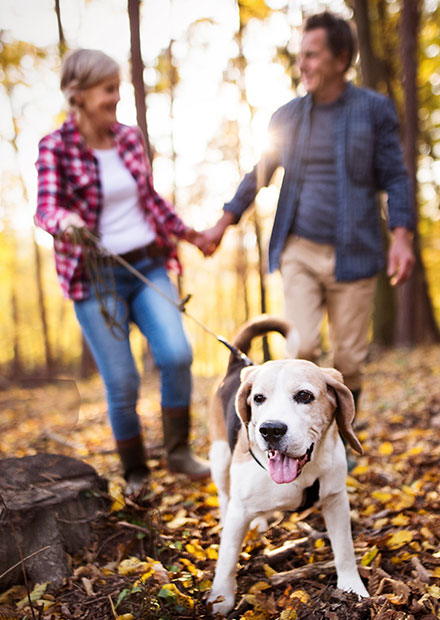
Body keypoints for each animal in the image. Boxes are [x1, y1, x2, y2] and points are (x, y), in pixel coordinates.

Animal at [208, 318, 366, 616]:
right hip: (220, 458)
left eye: (304, 396)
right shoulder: (238, 511)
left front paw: (353, 588)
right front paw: (221, 598)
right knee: (224, 496)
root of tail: (238, 366)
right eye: (258, 398)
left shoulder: (336, 499)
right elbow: (227, 559)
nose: (270, 429)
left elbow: (345, 549)